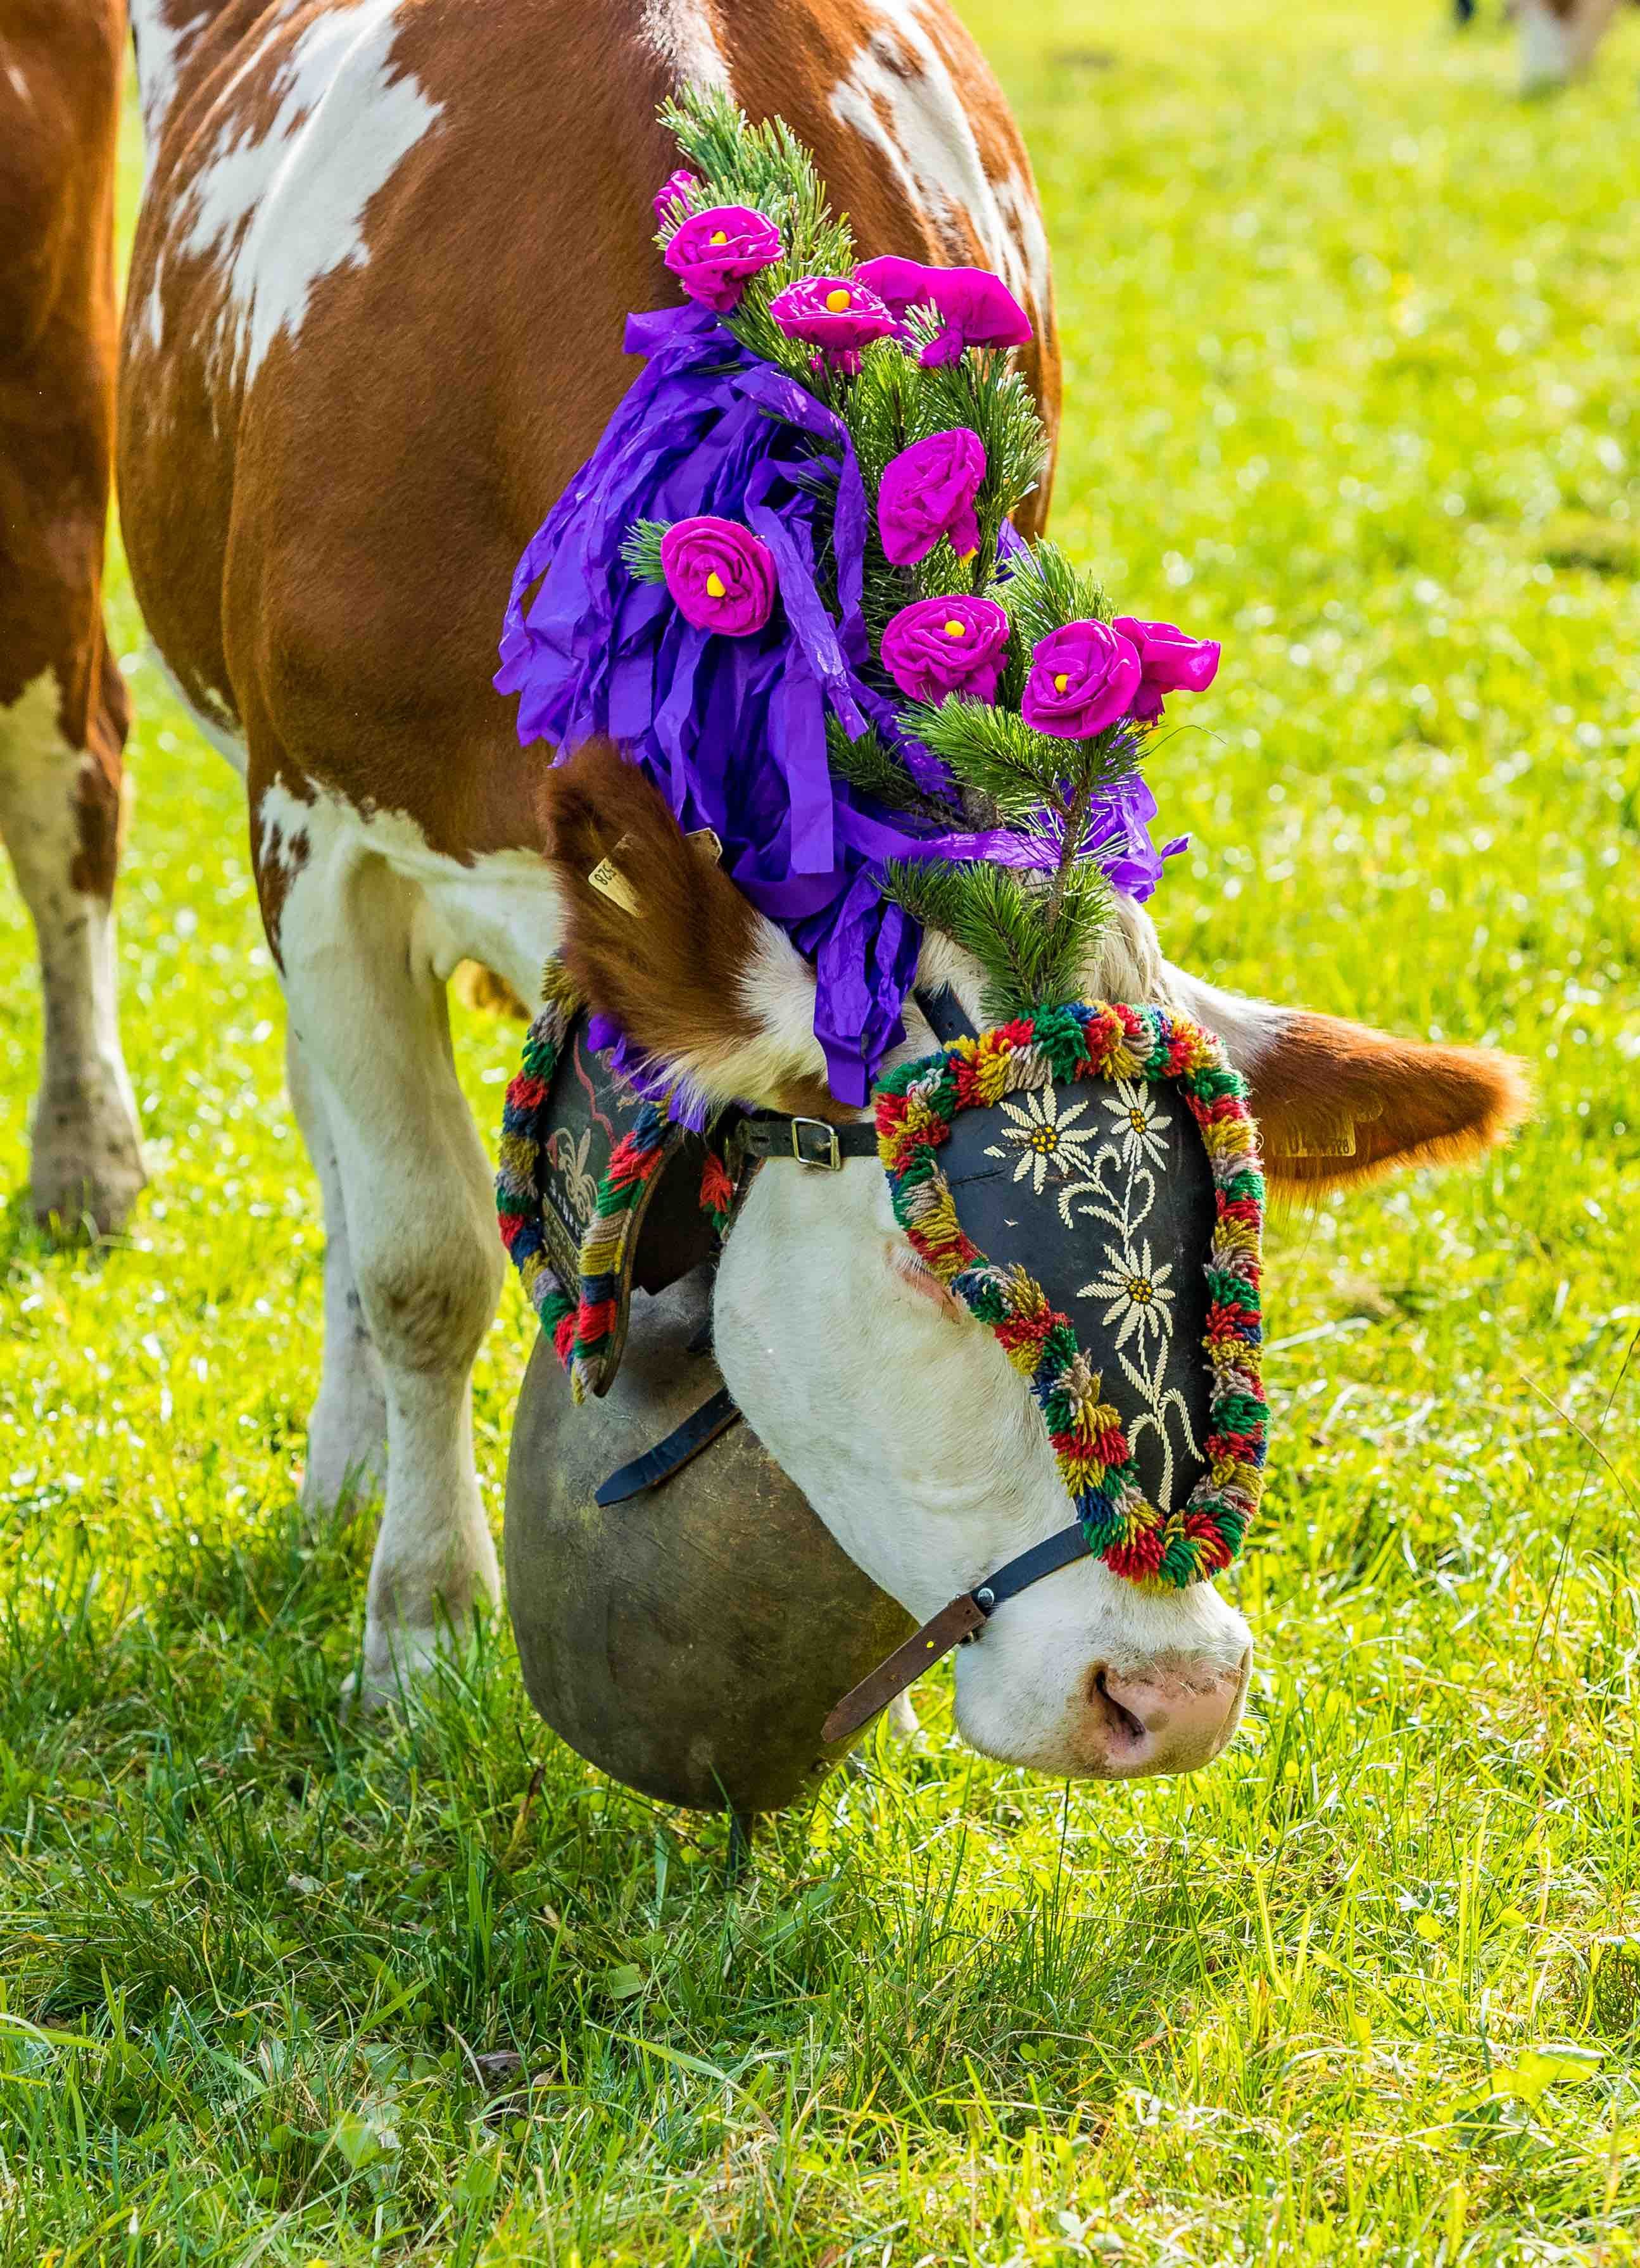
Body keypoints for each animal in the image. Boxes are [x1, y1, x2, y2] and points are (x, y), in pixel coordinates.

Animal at [118, 0, 1524, 1778]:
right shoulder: (322, 838)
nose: (1169, 1694)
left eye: (1223, 1229)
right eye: (936, 1258)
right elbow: (420, 1256)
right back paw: (350, 1462)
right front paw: (422, 1630)